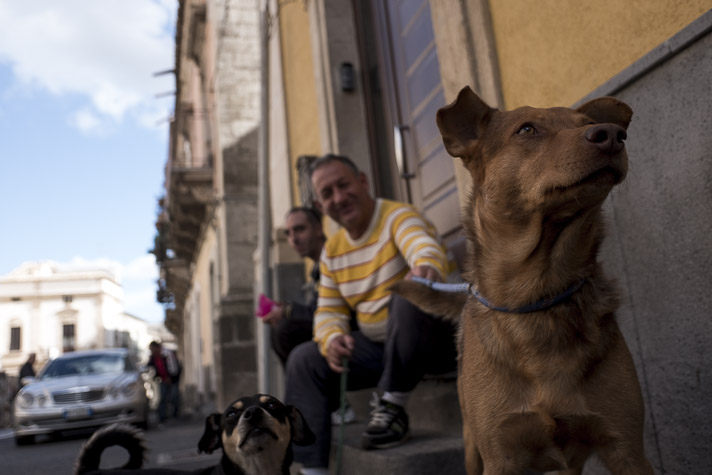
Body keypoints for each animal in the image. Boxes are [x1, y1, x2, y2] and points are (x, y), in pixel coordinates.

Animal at [392, 87, 652, 474]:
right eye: (527, 129)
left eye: (588, 123)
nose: (611, 134)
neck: (538, 295)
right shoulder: (501, 457)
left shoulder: (627, 449)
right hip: (471, 445)